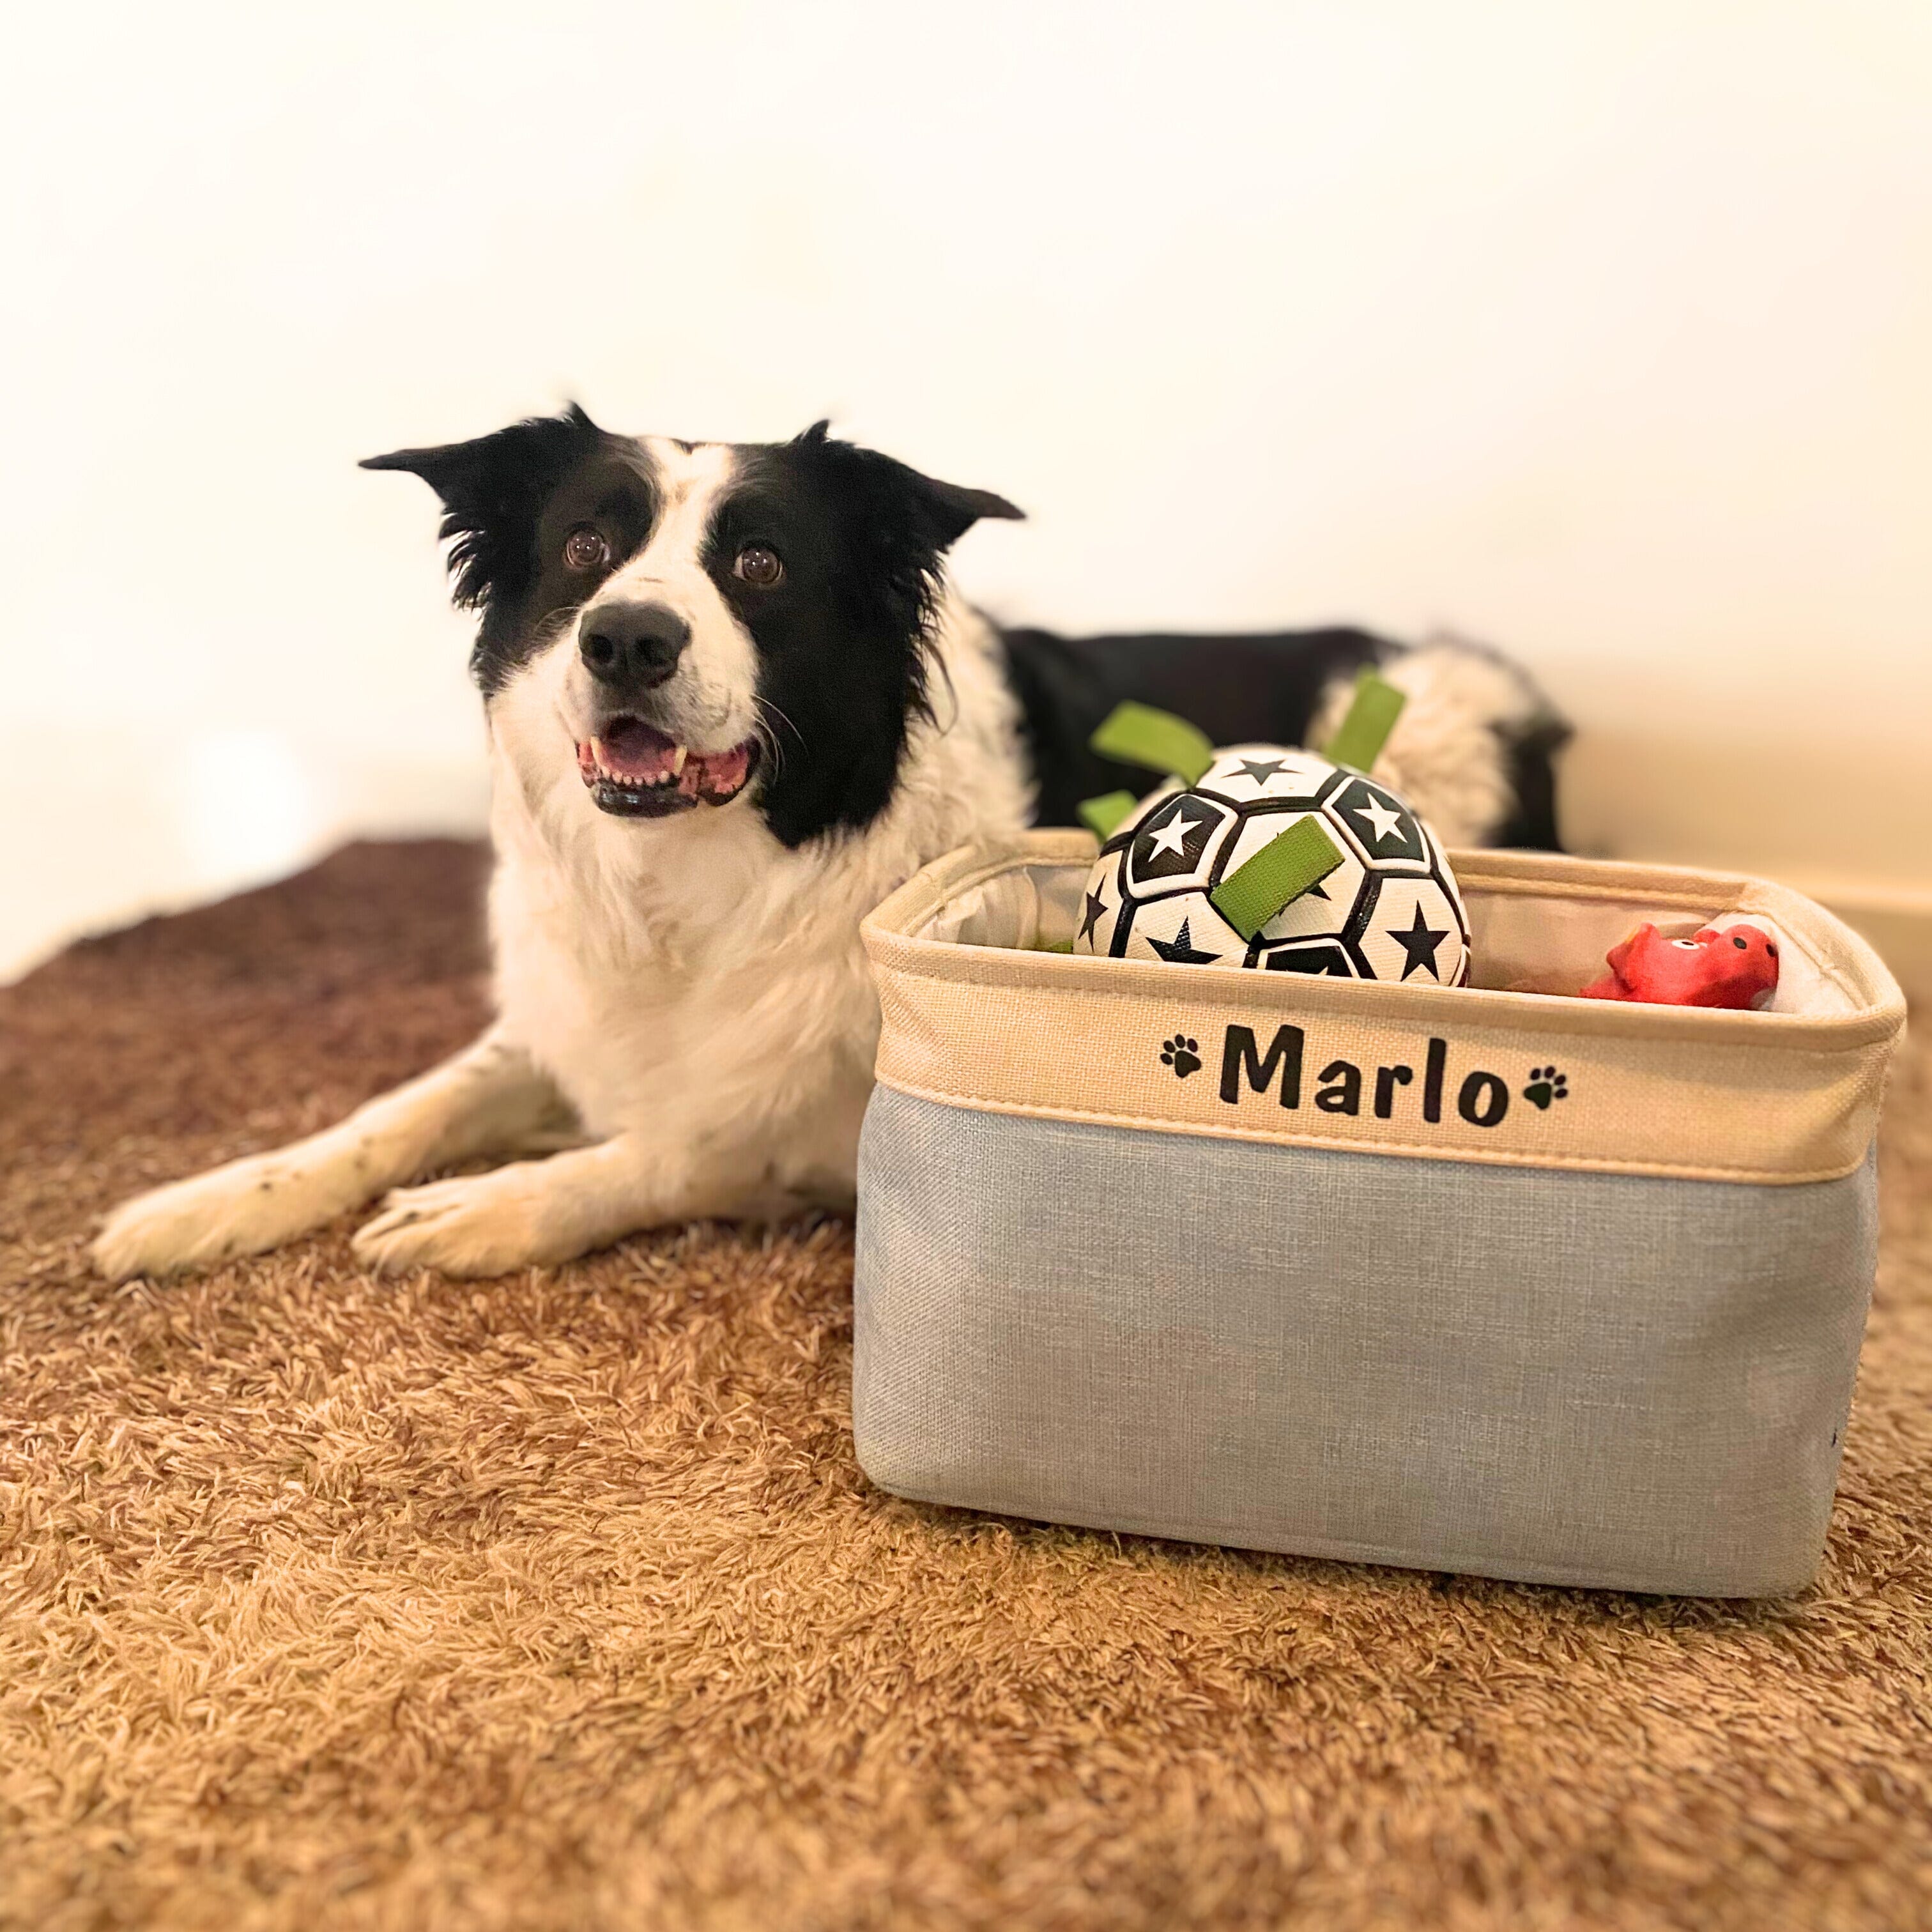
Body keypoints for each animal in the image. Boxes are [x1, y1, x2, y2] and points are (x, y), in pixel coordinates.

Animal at [94, 408, 1568, 1282]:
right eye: (584, 547)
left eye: (759, 567)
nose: (626, 638)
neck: (691, 889)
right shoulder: (565, 1008)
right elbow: (395, 1109)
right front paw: (207, 1200)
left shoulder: (822, 1117)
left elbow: (667, 1150)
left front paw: (491, 1206)